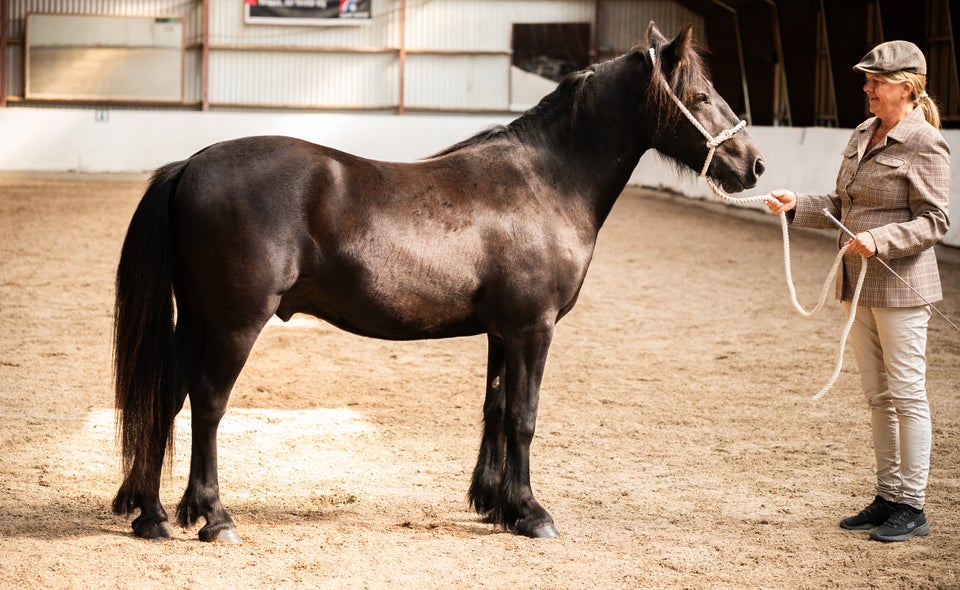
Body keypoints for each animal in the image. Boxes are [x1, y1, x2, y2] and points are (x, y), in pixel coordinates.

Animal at [112, 24, 760, 544]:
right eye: (701, 96)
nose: (753, 165)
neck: (548, 181)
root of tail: (191, 165)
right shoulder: (534, 329)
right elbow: (524, 416)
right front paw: (532, 513)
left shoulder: (504, 332)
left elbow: (497, 409)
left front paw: (497, 505)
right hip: (235, 323)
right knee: (208, 403)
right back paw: (214, 517)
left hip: (196, 320)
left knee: (167, 397)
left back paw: (154, 514)